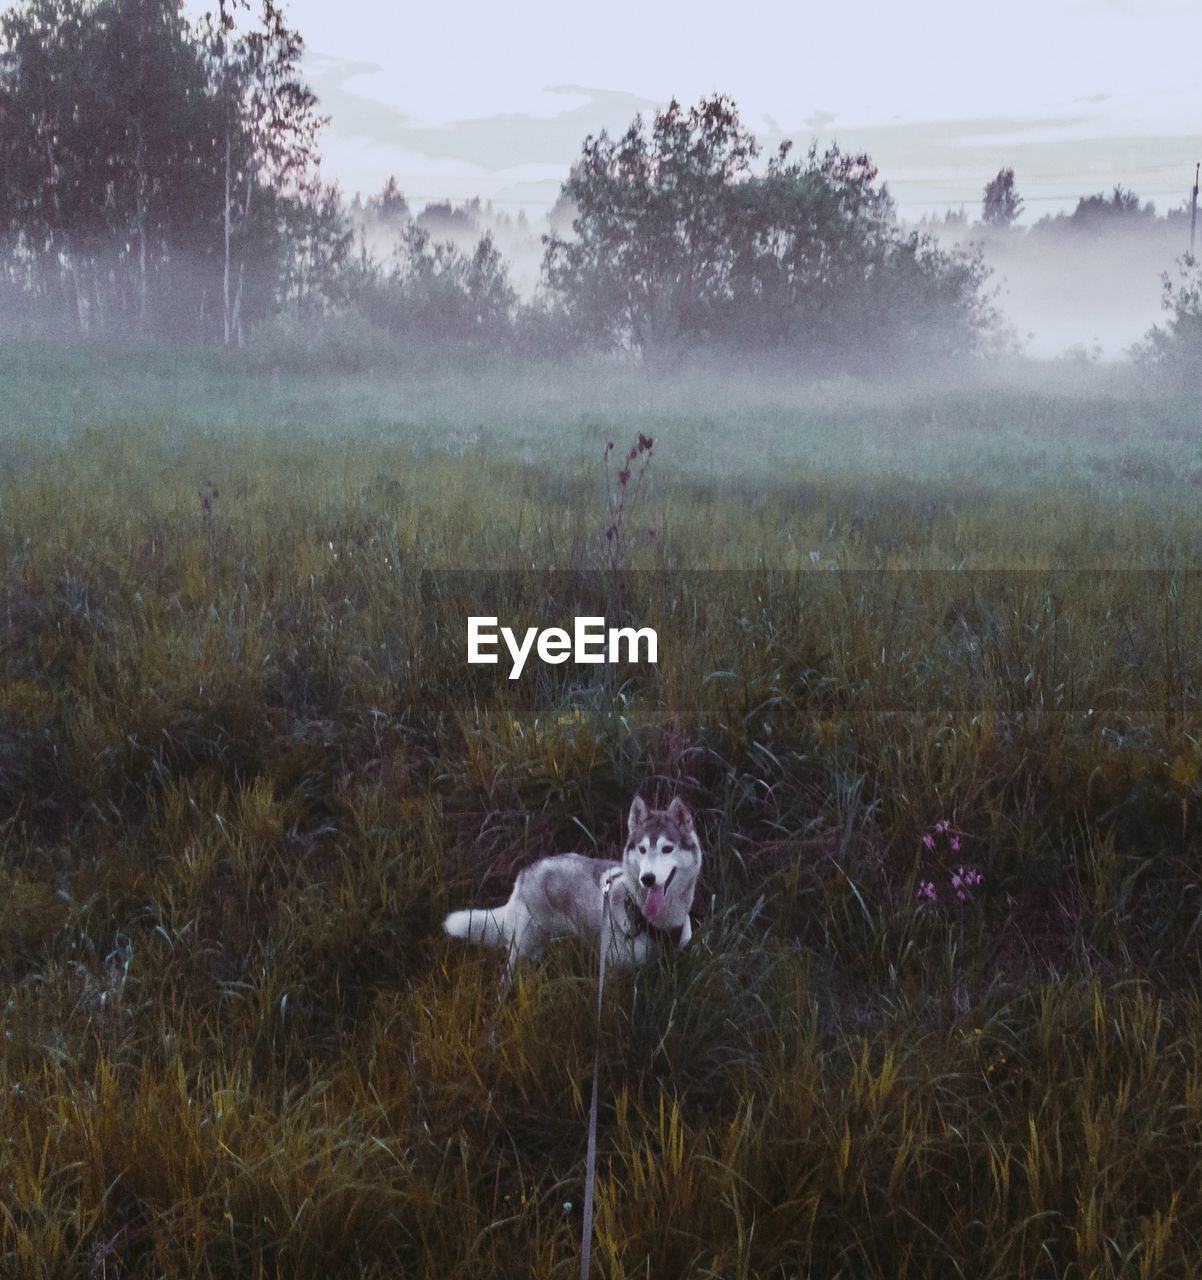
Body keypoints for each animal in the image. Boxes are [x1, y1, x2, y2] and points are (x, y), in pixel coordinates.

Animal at [445, 793, 701, 972]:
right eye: (642, 849)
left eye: (667, 849)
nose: (647, 878)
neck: (656, 923)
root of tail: (526, 872)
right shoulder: (615, 969)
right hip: (523, 949)